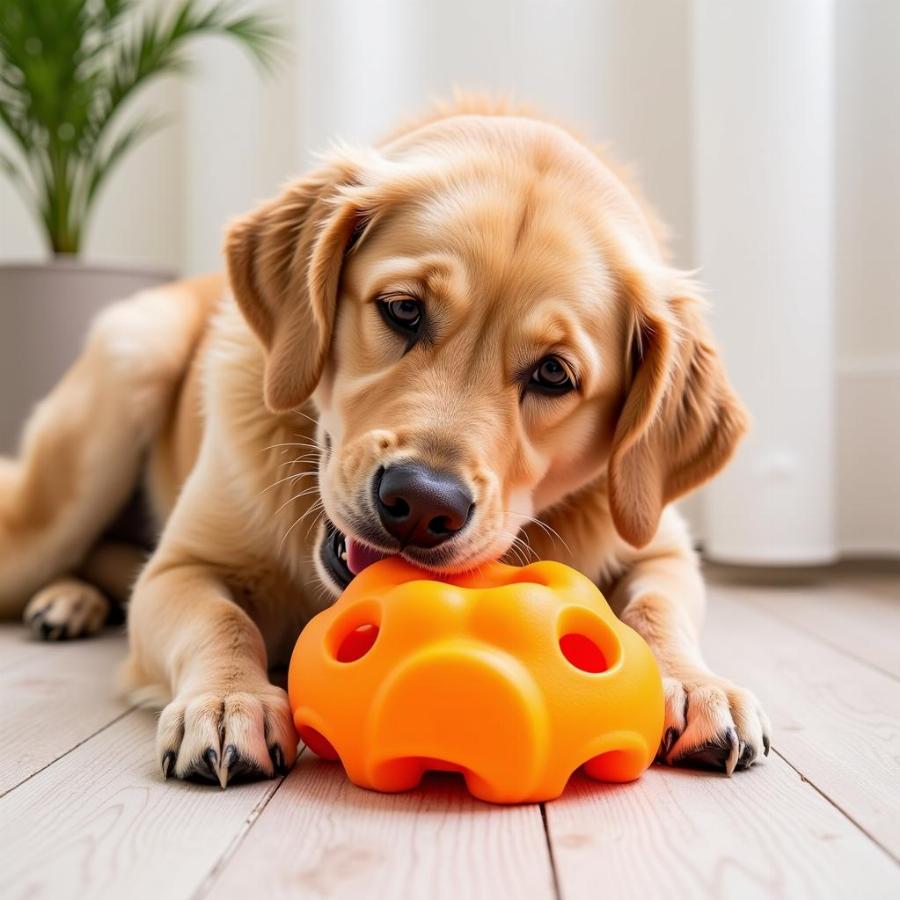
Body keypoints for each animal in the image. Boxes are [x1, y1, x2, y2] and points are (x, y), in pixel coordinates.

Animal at [1, 98, 772, 784]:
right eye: (403, 309)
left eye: (554, 374)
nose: (421, 504)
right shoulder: (180, 568)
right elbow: (221, 620)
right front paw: (228, 701)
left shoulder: (662, 546)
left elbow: (655, 608)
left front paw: (697, 686)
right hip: (121, 380)